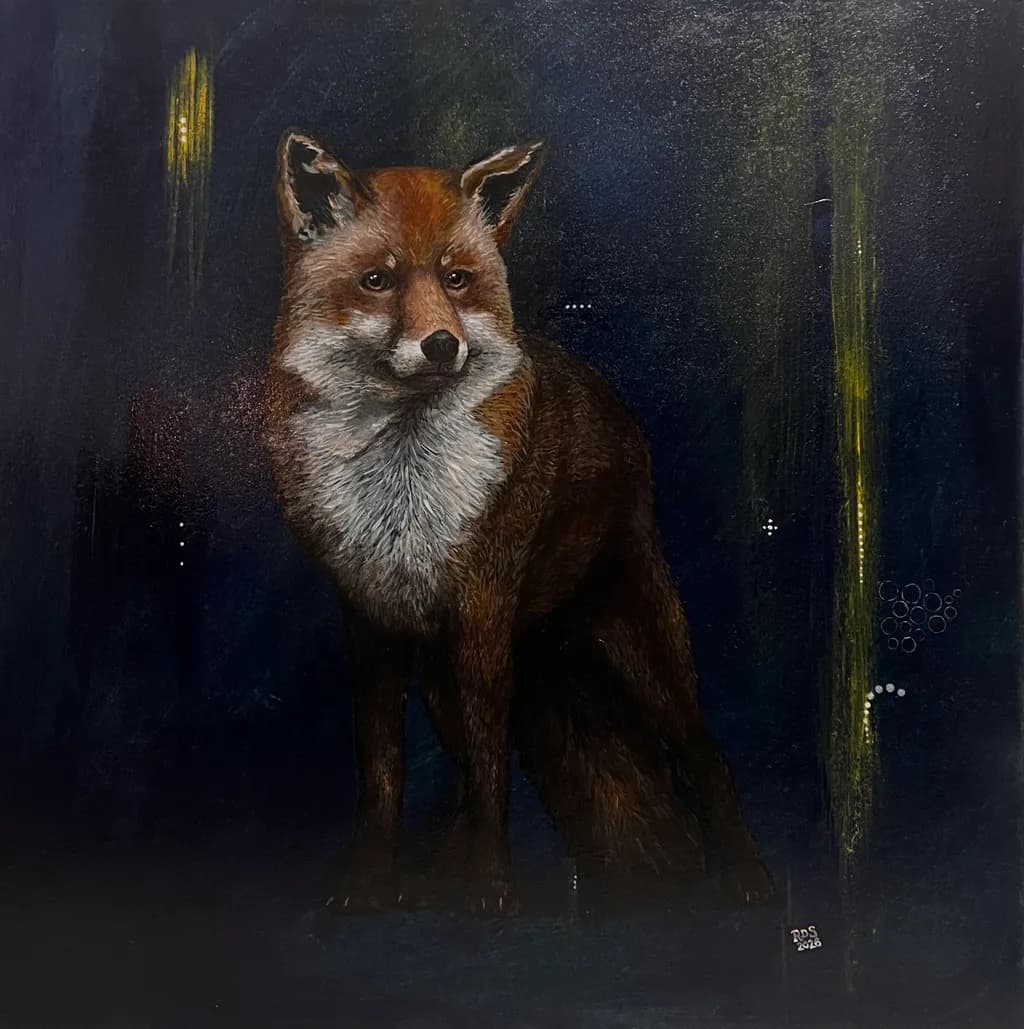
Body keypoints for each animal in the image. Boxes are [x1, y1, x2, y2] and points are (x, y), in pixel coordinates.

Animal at [265, 129, 773, 915]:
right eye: (377, 281)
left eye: (457, 279)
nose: (442, 344)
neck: (402, 497)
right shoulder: (370, 625)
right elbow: (385, 777)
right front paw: (370, 882)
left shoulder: (482, 617)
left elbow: (493, 780)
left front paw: (488, 886)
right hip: (444, 679)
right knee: (464, 776)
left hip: (641, 654)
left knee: (707, 758)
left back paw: (749, 880)